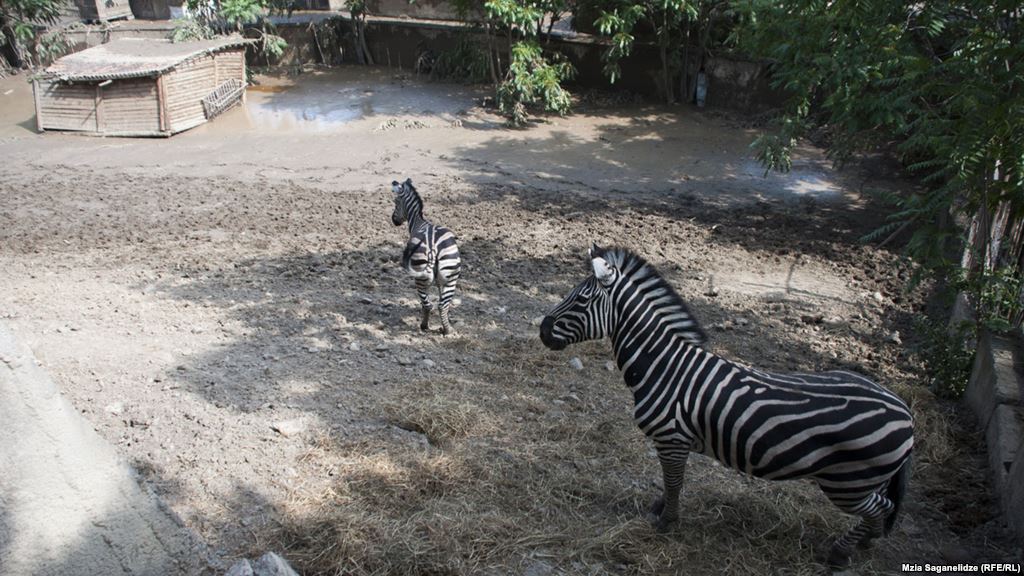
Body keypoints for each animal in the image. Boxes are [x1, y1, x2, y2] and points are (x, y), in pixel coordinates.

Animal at [389, 177, 462, 334]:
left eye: (396, 202)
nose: (394, 221)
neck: (418, 221)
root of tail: (433, 247)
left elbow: (426, 303)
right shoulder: (440, 280)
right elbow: (440, 297)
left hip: (420, 277)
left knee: (427, 304)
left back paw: (424, 326)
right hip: (451, 275)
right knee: (442, 304)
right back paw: (447, 330)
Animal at [540, 242, 917, 565]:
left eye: (581, 300)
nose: (543, 331)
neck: (664, 366)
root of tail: (907, 414)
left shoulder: (672, 438)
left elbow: (674, 482)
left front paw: (667, 521)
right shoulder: (674, 443)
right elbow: (668, 481)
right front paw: (659, 508)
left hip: (848, 482)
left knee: (879, 507)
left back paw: (841, 552)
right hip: (862, 481)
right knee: (881, 507)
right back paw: (866, 540)